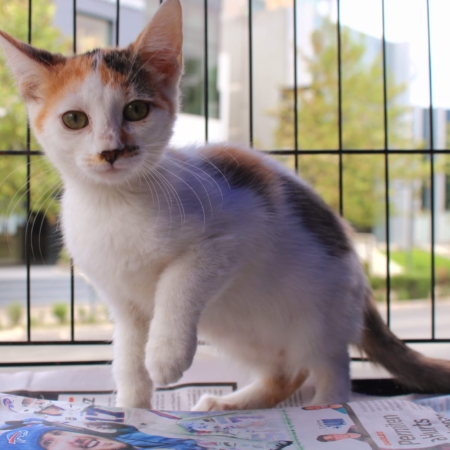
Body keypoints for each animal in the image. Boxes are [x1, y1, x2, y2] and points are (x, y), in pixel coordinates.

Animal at [1, 0, 450, 411]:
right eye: (74, 120)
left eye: (136, 110)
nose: (111, 151)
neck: (115, 204)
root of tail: (362, 285)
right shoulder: (122, 302)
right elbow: (127, 355)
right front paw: (133, 409)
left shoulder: (236, 232)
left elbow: (178, 283)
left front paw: (165, 354)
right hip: (239, 331)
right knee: (287, 372)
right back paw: (231, 404)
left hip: (321, 315)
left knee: (332, 367)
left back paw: (327, 408)